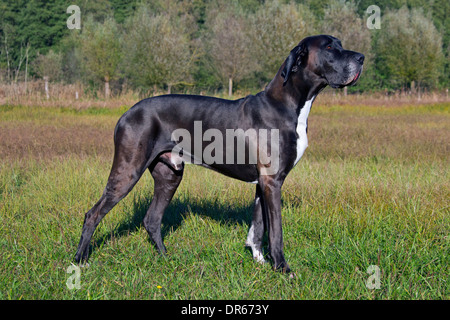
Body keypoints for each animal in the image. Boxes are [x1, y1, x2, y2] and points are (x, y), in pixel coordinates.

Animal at [74, 35, 362, 272]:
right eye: (329, 48)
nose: (361, 58)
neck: (288, 103)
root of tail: (125, 113)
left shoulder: (263, 183)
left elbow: (258, 227)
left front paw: (259, 261)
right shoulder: (272, 181)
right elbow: (275, 231)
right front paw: (283, 269)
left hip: (169, 175)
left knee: (152, 219)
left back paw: (166, 258)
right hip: (128, 171)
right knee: (93, 214)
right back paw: (80, 261)